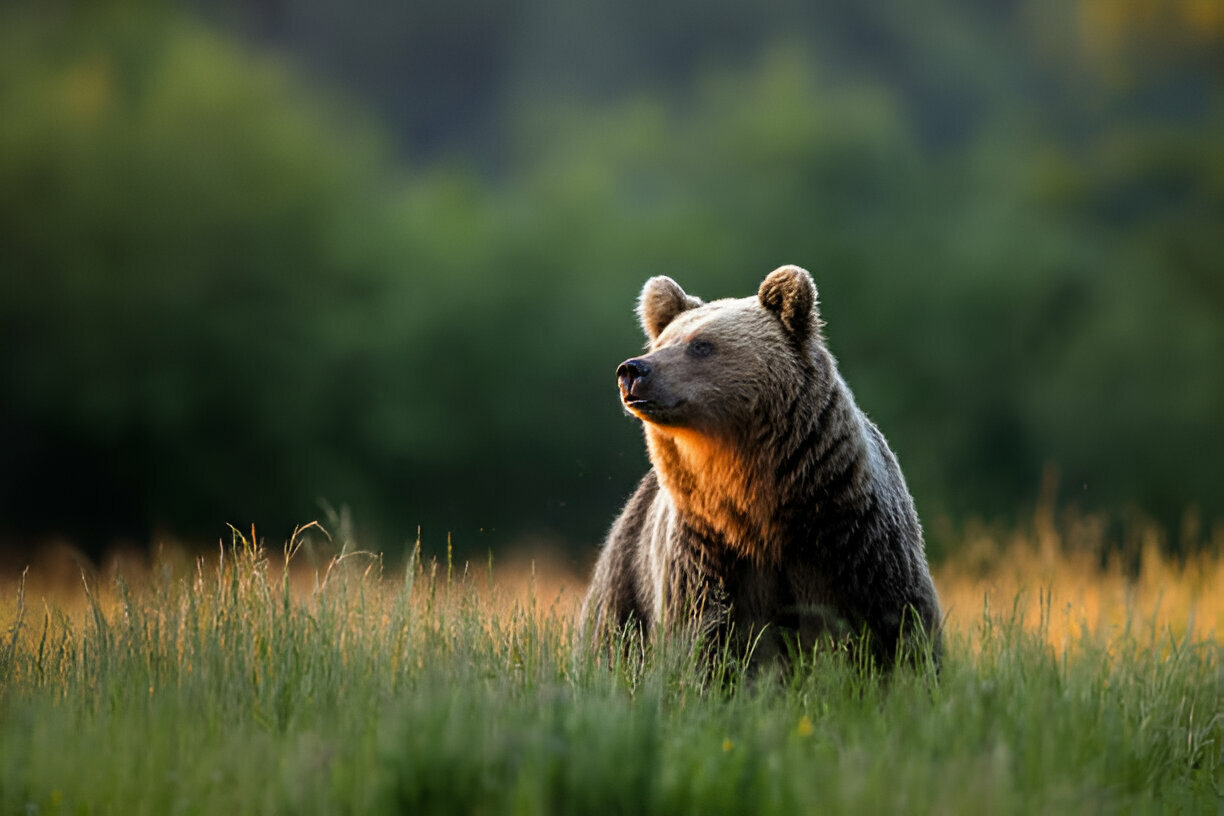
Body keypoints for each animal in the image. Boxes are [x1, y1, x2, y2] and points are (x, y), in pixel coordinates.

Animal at [580, 264, 942, 672]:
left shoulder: (852, 539)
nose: (633, 371)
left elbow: (898, 628)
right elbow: (704, 641)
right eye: (660, 344)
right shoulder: (707, 554)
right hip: (625, 581)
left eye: (701, 345)